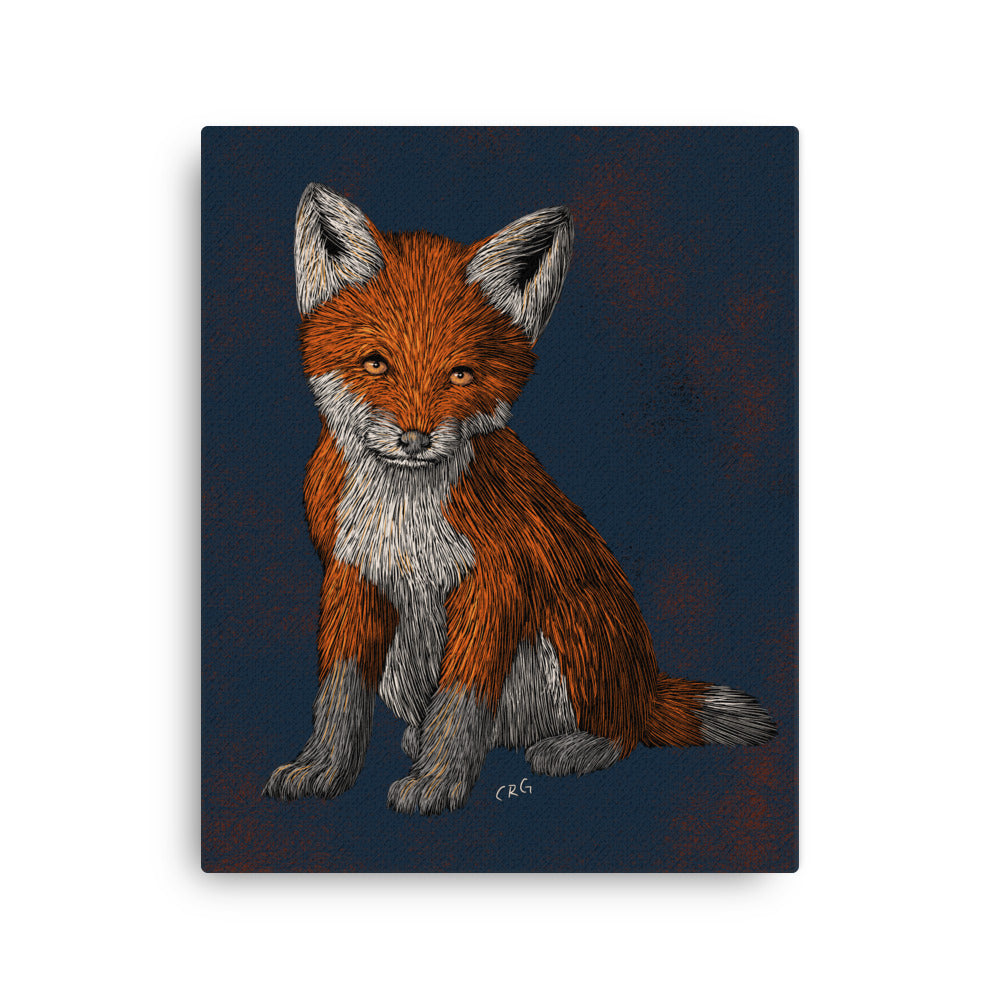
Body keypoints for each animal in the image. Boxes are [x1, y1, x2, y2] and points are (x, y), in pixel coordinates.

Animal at [262, 182, 776, 815]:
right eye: (375, 363)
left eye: (461, 375)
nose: (415, 438)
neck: (404, 514)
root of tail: (645, 684)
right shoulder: (351, 573)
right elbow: (339, 693)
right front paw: (323, 768)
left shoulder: (497, 581)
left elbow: (461, 701)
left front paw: (438, 780)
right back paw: (422, 739)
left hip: (575, 633)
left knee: (622, 733)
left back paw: (574, 746)